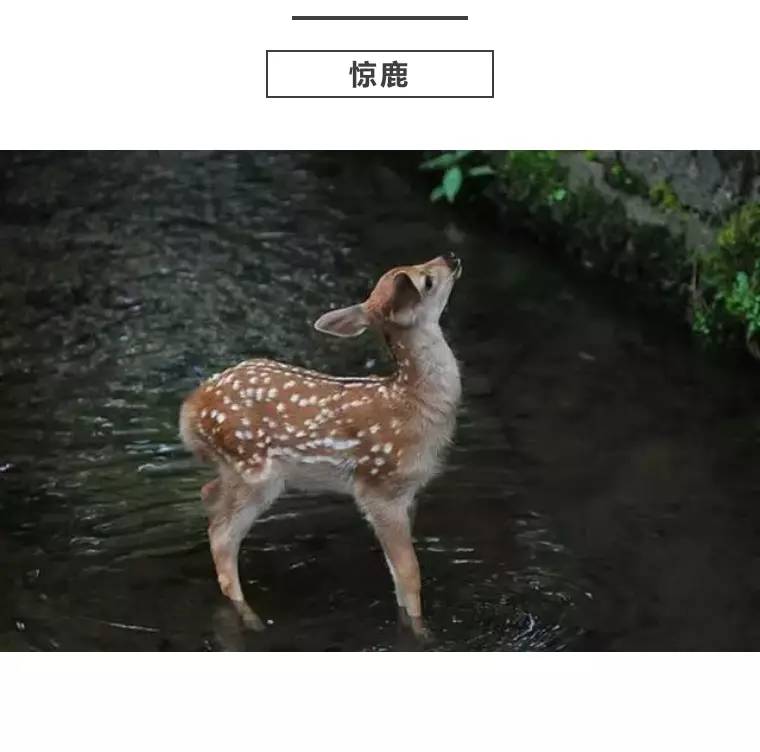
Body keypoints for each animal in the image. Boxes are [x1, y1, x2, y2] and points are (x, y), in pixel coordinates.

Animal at [179, 253, 462, 639]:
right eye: (428, 280)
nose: (451, 258)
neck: (414, 402)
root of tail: (189, 409)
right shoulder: (380, 487)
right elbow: (409, 572)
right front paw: (421, 633)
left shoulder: (408, 494)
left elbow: (398, 574)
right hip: (254, 469)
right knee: (222, 535)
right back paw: (252, 619)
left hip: (236, 469)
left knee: (209, 496)